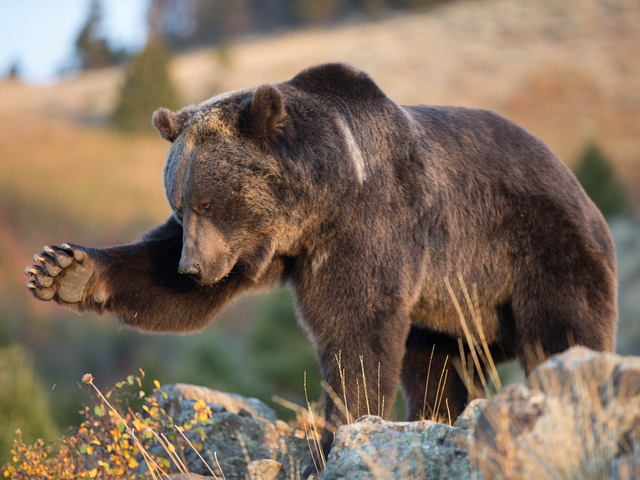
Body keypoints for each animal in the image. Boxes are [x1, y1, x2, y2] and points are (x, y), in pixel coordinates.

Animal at [27, 62, 616, 474]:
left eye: (210, 202)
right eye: (180, 204)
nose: (192, 267)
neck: (319, 204)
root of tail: (582, 190)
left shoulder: (370, 227)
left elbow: (356, 331)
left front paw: (334, 440)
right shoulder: (265, 250)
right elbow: (164, 286)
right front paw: (62, 269)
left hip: (537, 253)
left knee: (563, 334)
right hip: (450, 309)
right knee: (438, 368)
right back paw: (436, 418)